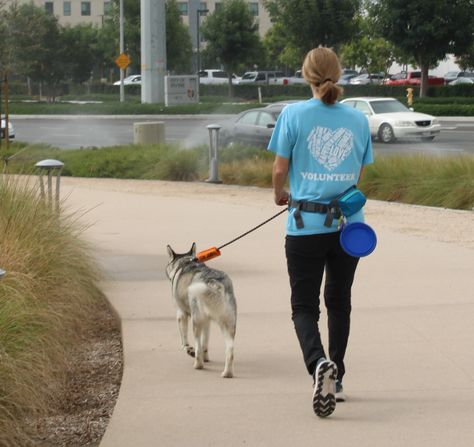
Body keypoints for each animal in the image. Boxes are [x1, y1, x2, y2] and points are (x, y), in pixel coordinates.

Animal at [165, 245, 237, 378]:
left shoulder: (181, 314)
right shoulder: (207, 321)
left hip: (196, 321)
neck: (186, 261)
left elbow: (184, 339)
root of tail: (214, 283)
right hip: (228, 324)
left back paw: (198, 365)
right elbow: (206, 342)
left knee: (198, 346)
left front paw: (188, 349)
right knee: (230, 350)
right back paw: (227, 373)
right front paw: (206, 357)